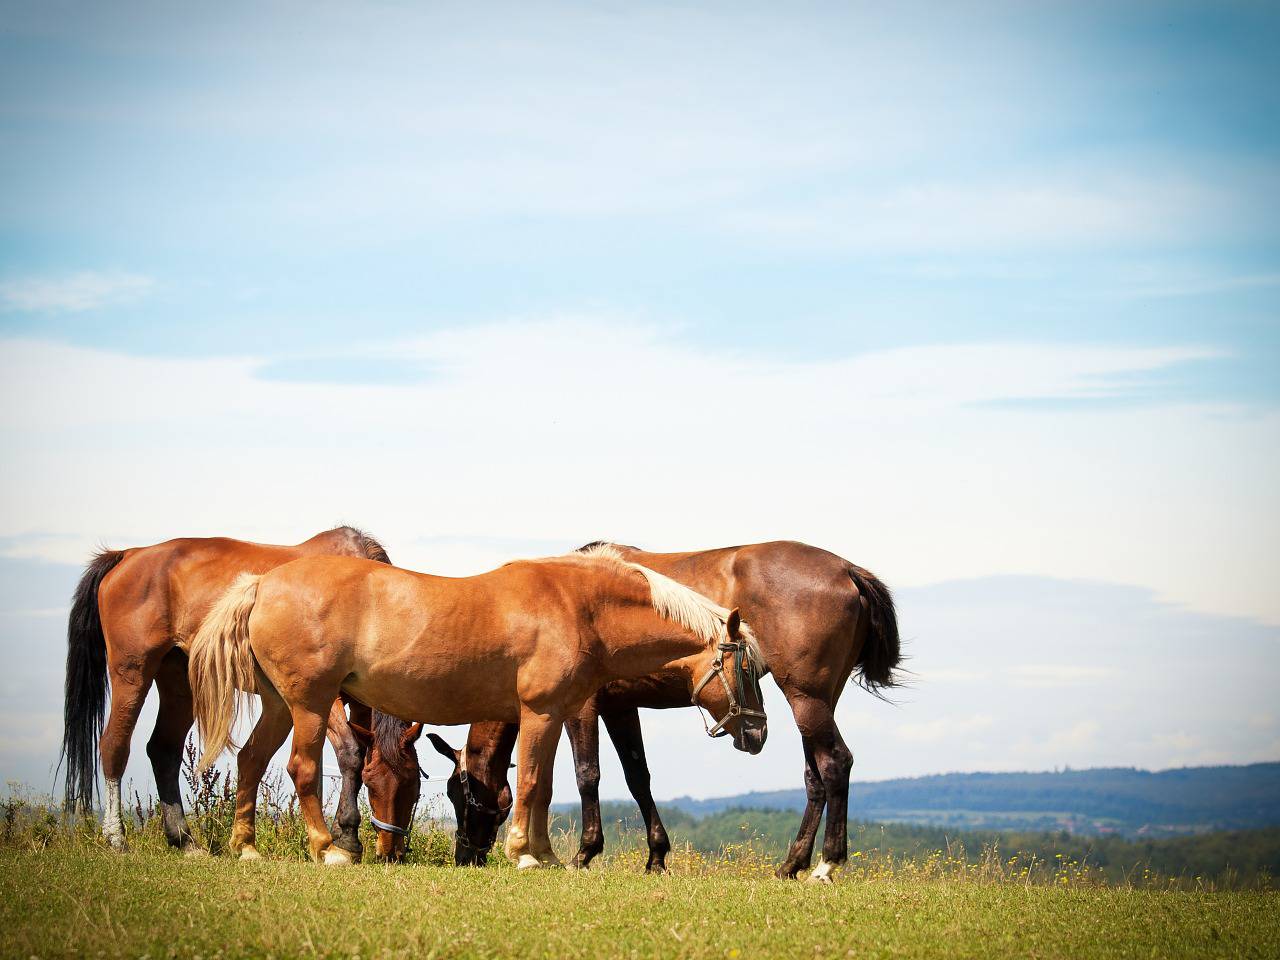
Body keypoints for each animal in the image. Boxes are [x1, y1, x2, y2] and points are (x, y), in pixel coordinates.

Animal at [60, 527, 391, 855]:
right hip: (132, 673)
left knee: (163, 750)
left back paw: (184, 840)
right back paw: (116, 838)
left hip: (179, 682)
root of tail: (128, 554)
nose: (390, 850)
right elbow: (350, 753)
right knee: (114, 746)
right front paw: (346, 835)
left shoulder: (359, 703)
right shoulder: (319, 696)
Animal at [181, 545, 762, 870]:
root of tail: (262, 584)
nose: (758, 734)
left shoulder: (550, 716)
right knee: (301, 768)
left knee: (251, 760)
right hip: (310, 703)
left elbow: (542, 786)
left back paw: (246, 847)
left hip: (280, 704)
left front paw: (546, 854)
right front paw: (523, 853)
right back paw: (329, 848)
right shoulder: (542, 713)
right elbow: (532, 781)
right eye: (749, 669)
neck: (579, 606)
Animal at [366, 537, 896, 885]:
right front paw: (656, 856)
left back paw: (826, 864)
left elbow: (587, 775)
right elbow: (638, 776)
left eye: (462, 795)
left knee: (835, 764)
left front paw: (584, 853)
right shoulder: (621, 707)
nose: (466, 856)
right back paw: (792, 864)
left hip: (806, 699)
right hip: (818, 701)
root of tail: (847, 570)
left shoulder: (581, 707)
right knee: (815, 777)